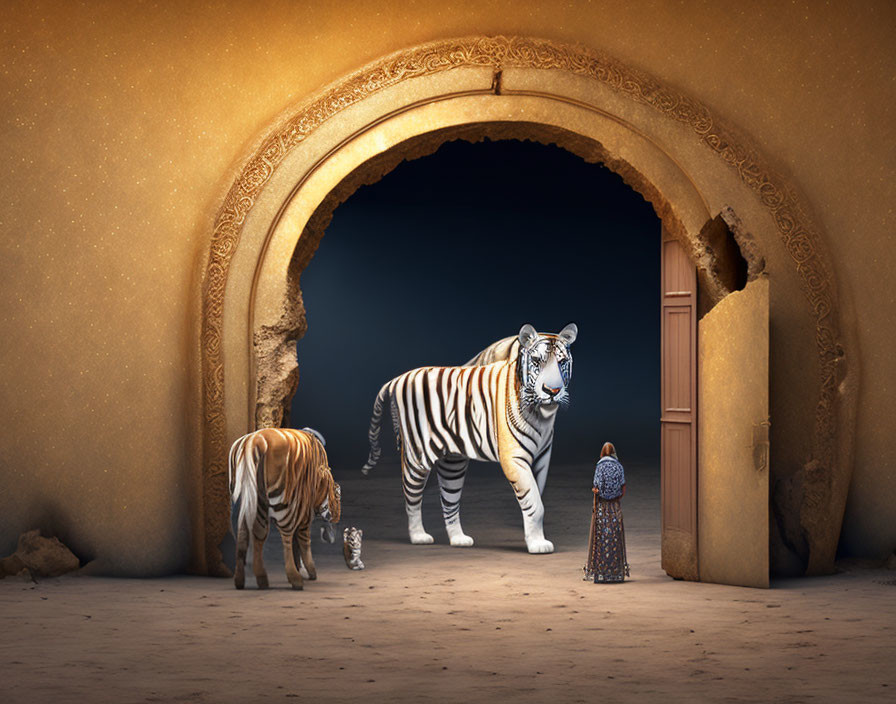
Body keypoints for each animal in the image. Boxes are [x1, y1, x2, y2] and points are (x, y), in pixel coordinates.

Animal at [364, 322, 580, 552]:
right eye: (538, 361)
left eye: (562, 362)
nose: (552, 391)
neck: (541, 414)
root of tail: (398, 378)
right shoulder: (514, 458)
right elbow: (533, 502)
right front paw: (537, 545)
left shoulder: (541, 458)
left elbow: (537, 497)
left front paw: (535, 539)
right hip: (417, 457)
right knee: (411, 497)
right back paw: (419, 536)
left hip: (452, 463)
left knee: (449, 502)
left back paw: (459, 539)